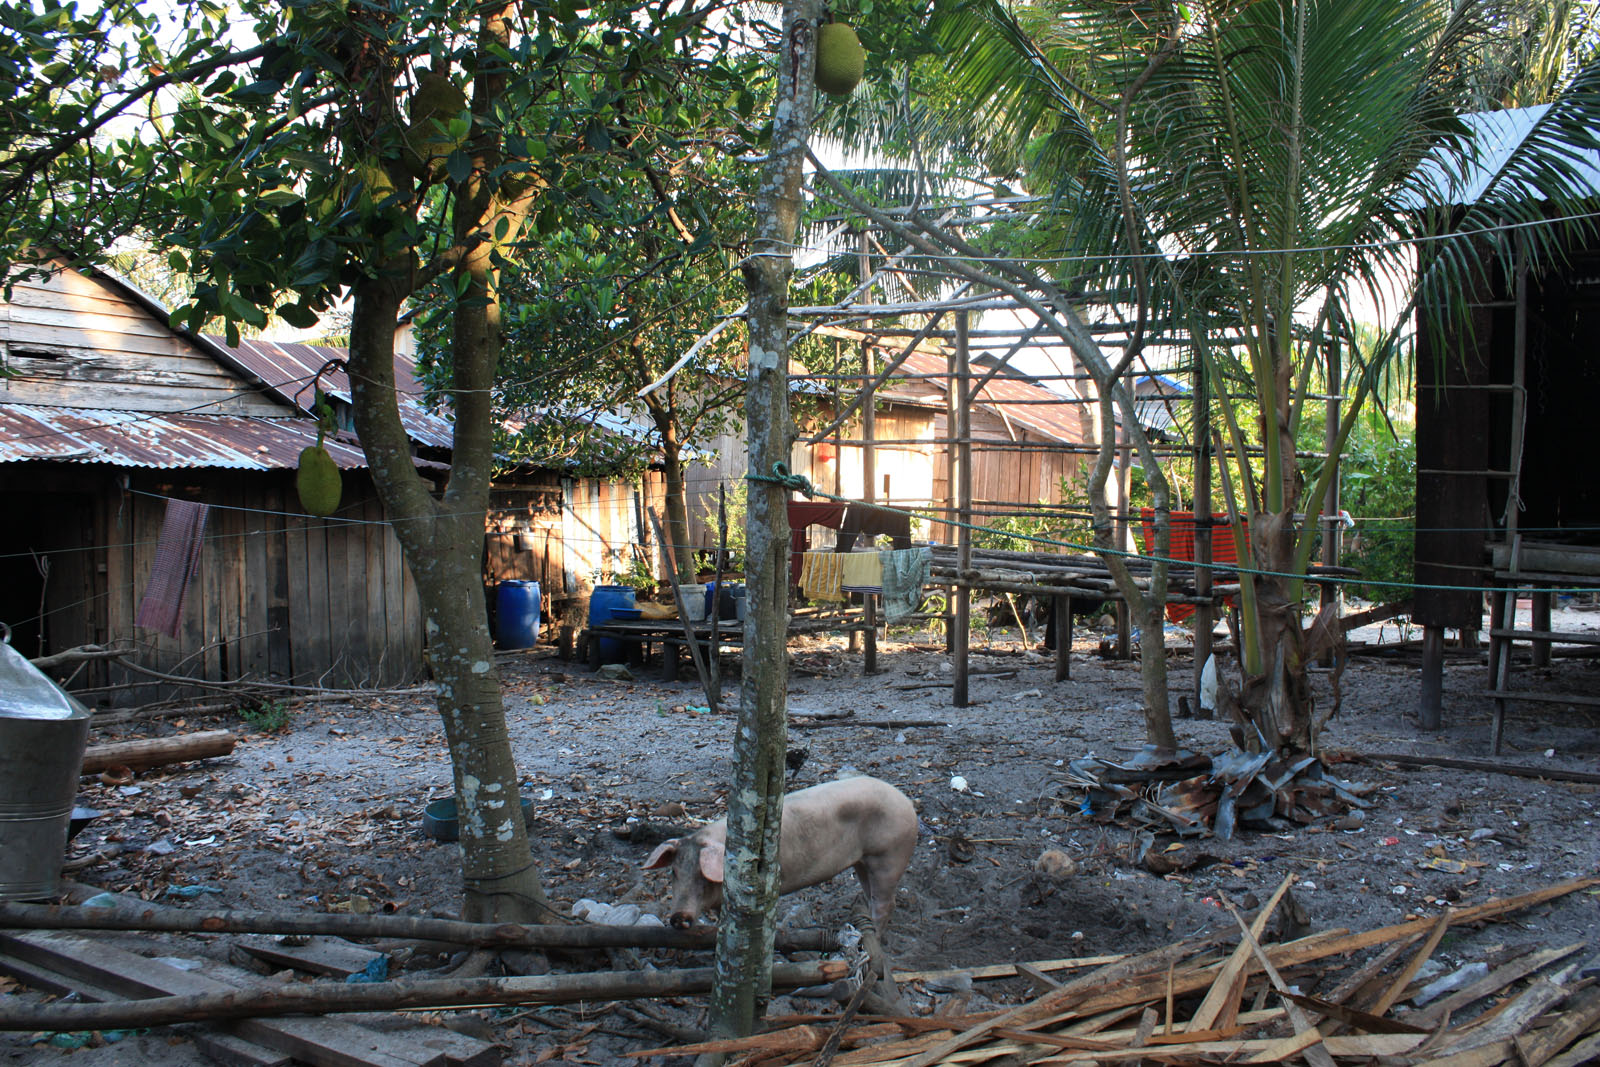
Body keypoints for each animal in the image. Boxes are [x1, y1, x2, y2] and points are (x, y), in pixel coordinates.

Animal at [636, 771, 915, 927]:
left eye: (702, 876)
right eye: (673, 872)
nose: (677, 919)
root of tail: (906, 803)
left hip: (888, 855)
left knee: (886, 903)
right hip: (863, 861)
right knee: (870, 895)